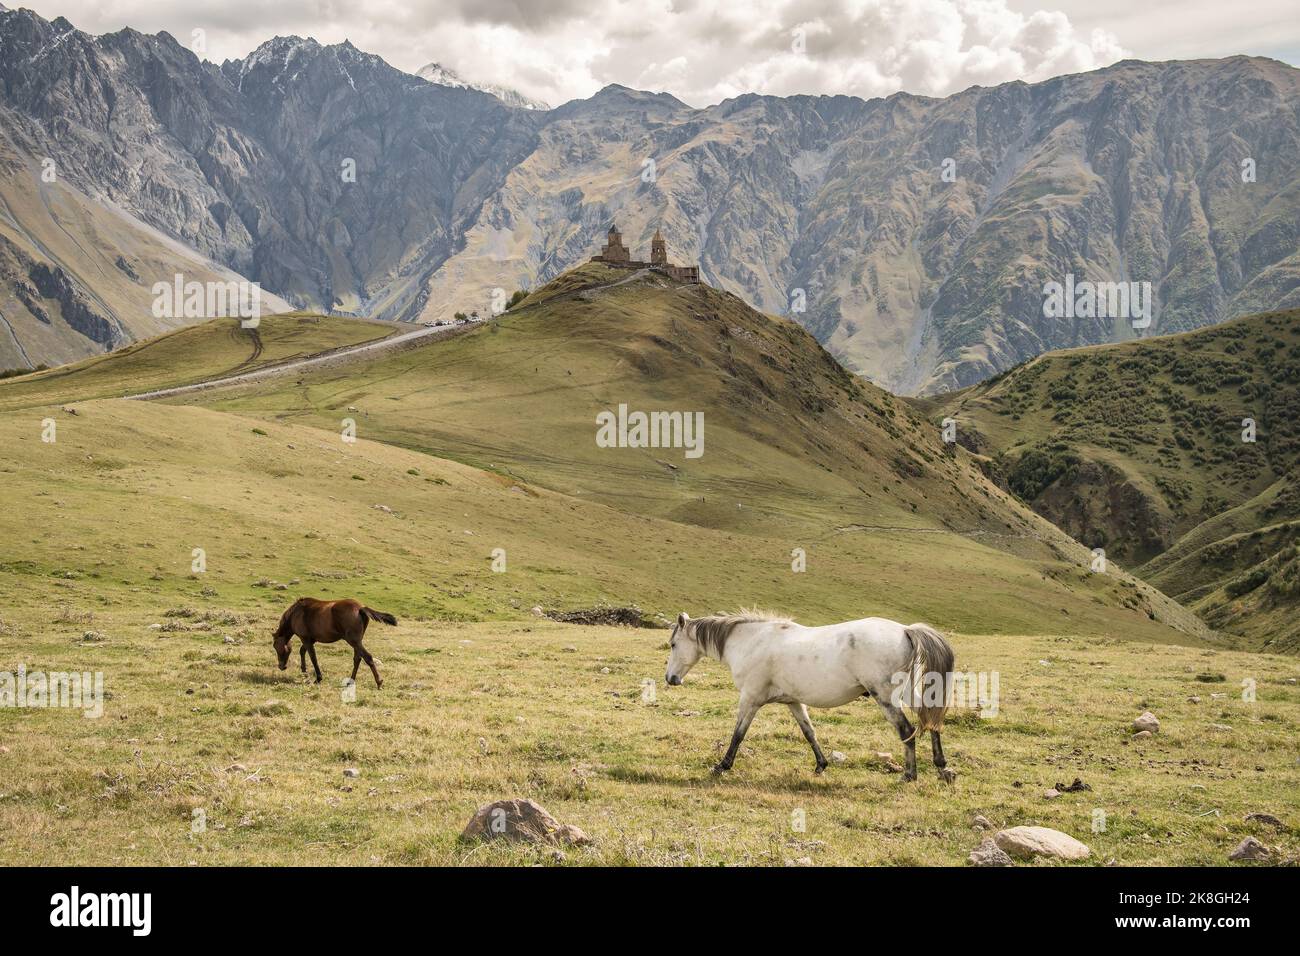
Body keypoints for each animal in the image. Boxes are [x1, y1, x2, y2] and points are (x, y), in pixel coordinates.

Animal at [660, 608, 956, 780]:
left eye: (673, 644)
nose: (670, 679)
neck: (751, 641)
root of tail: (905, 630)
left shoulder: (750, 699)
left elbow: (738, 734)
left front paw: (722, 766)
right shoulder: (793, 702)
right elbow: (809, 732)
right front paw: (821, 765)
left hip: (885, 697)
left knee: (907, 729)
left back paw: (909, 775)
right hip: (906, 693)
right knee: (930, 721)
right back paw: (942, 767)